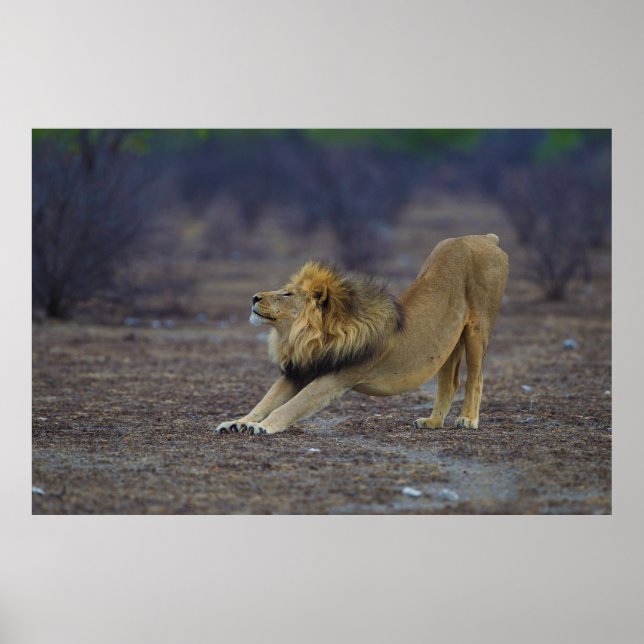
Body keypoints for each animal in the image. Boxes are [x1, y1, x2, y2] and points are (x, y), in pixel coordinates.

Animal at [215, 233, 508, 436]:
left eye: (286, 294)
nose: (254, 297)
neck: (303, 337)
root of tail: (485, 237)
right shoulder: (298, 371)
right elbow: (265, 402)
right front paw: (237, 422)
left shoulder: (337, 377)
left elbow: (291, 406)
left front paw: (263, 427)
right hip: (449, 341)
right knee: (449, 383)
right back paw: (433, 422)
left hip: (477, 329)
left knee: (476, 378)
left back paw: (468, 419)